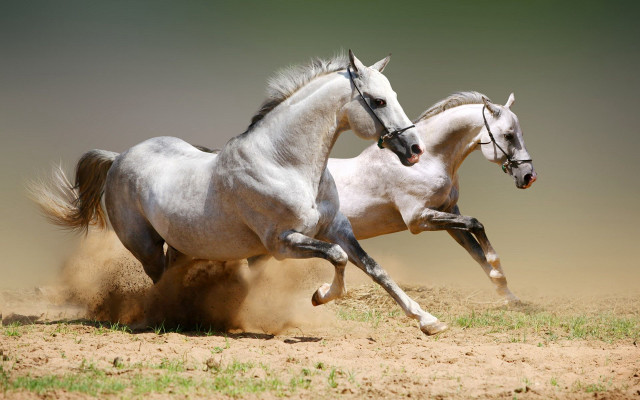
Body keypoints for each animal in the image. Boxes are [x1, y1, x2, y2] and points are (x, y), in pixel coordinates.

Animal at [32, 50, 449, 335]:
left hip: (182, 245)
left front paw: (428, 320)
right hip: (145, 245)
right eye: (378, 101)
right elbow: (338, 258)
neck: (285, 163)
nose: (414, 149)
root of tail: (118, 157)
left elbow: (375, 269)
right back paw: (168, 317)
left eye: (392, 94)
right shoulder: (282, 243)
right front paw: (319, 296)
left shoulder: (337, 228)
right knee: (159, 281)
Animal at [328, 92, 536, 304]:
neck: (426, 162)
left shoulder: (448, 212)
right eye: (508, 135)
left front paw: (508, 295)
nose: (529, 176)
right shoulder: (418, 219)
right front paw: (497, 270)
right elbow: (475, 224)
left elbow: (476, 251)